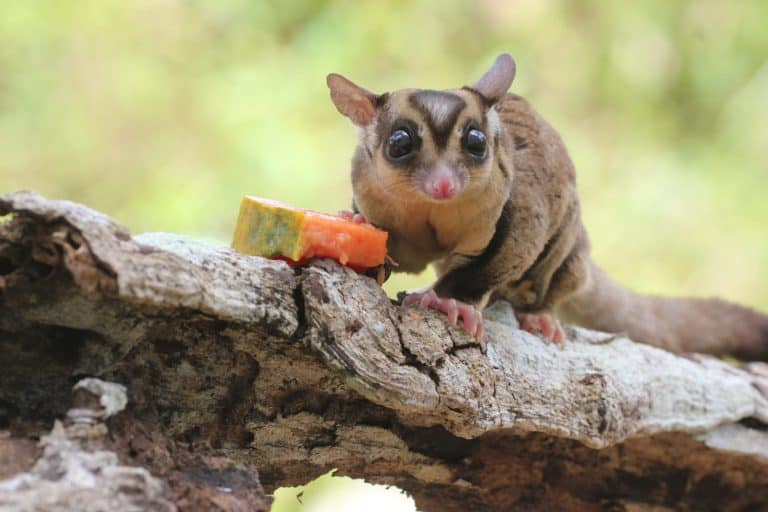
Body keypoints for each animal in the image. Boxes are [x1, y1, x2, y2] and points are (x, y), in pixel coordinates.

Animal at [327, 53, 768, 359]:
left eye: (475, 143)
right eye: (399, 143)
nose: (443, 184)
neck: (429, 208)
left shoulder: (516, 204)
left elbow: (504, 254)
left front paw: (449, 300)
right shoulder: (374, 194)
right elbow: (397, 252)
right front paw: (352, 222)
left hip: (569, 255)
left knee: (561, 271)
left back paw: (538, 315)